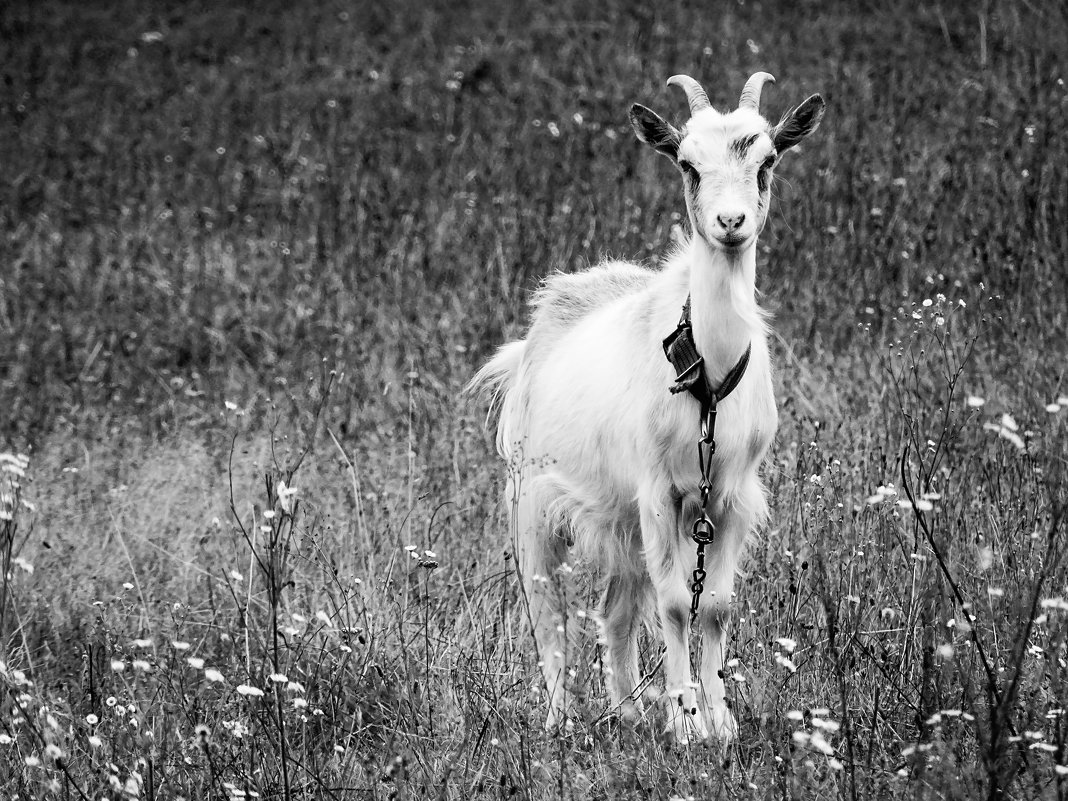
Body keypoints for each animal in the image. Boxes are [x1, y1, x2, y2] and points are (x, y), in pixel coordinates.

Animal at [472, 72, 828, 743]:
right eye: (687, 164)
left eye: (767, 160)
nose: (731, 221)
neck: (708, 380)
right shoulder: (659, 490)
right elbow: (674, 603)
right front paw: (685, 722)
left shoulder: (730, 496)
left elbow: (714, 606)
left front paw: (719, 721)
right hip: (532, 494)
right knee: (548, 608)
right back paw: (563, 720)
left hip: (622, 518)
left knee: (614, 609)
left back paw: (628, 713)